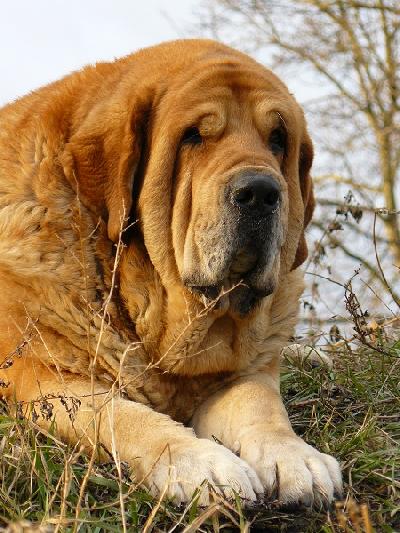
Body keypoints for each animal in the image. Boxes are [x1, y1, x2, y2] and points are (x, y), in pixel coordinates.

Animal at [0, 39, 342, 506]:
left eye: (277, 139)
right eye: (193, 136)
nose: (260, 192)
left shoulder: (245, 372)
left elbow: (261, 404)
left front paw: (294, 457)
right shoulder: (40, 376)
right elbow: (120, 415)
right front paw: (199, 463)